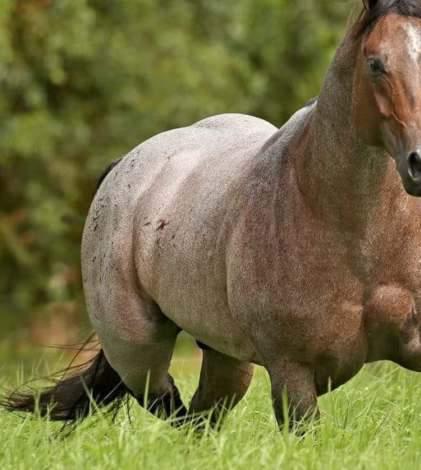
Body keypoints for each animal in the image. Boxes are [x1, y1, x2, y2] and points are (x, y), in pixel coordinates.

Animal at [5, 0, 421, 432]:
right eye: (375, 63)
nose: (419, 163)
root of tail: (125, 167)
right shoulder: (292, 374)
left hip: (226, 360)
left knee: (201, 416)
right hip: (136, 352)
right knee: (172, 407)